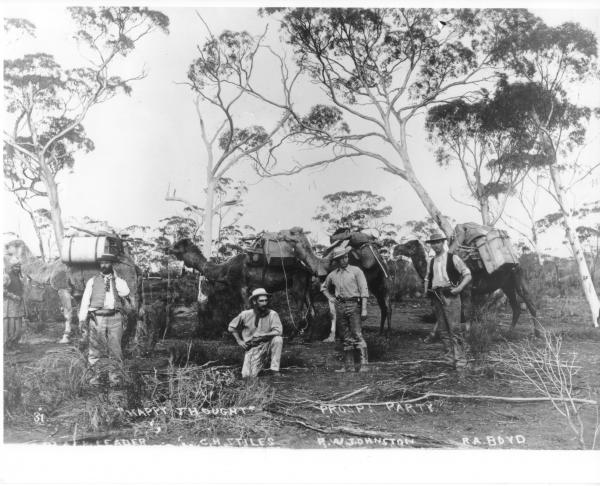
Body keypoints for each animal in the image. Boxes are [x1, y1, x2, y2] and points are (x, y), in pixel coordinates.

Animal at [394, 237, 540, 336]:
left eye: (408, 245)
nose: (395, 249)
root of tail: (518, 262)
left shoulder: (466, 289)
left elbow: (465, 311)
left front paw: (467, 333)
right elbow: (443, 313)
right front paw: (432, 335)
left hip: (518, 279)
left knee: (530, 303)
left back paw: (537, 334)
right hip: (507, 285)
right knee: (516, 307)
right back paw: (509, 332)